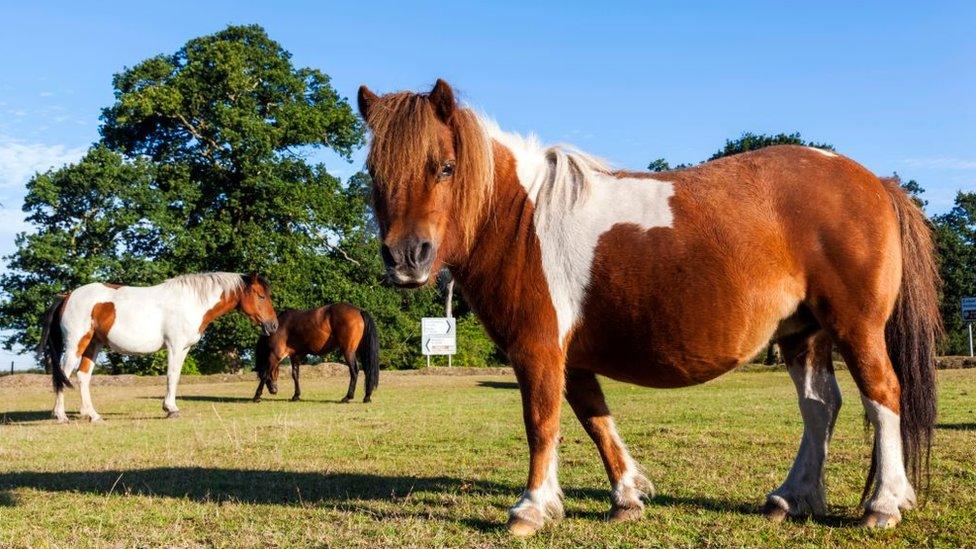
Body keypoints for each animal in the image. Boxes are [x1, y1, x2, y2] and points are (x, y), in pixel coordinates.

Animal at [36, 272, 276, 422]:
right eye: (261, 296)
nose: (272, 325)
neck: (191, 302)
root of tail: (67, 296)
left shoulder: (184, 348)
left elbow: (175, 377)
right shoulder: (175, 346)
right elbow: (171, 375)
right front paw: (171, 409)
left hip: (92, 345)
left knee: (82, 377)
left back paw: (92, 415)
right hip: (76, 343)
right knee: (63, 374)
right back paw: (60, 415)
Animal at [252, 302, 382, 400]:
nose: (273, 390)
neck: (281, 326)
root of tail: (359, 310)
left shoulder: (275, 355)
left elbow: (266, 374)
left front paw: (257, 396)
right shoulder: (295, 356)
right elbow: (295, 374)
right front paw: (296, 396)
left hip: (348, 351)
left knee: (354, 371)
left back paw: (348, 397)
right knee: (367, 370)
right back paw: (367, 397)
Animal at [354, 79, 940, 532]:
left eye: (445, 167)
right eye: (374, 174)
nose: (406, 257)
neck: (520, 218)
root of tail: (875, 182)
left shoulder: (538, 349)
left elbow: (542, 422)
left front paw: (531, 508)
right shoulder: (572, 357)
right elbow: (595, 419)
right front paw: (627, 497)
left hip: (855, 327)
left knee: (882, 395)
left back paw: (884, 505)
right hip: (803, 333)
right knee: (820, 407)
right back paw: (790, 497)